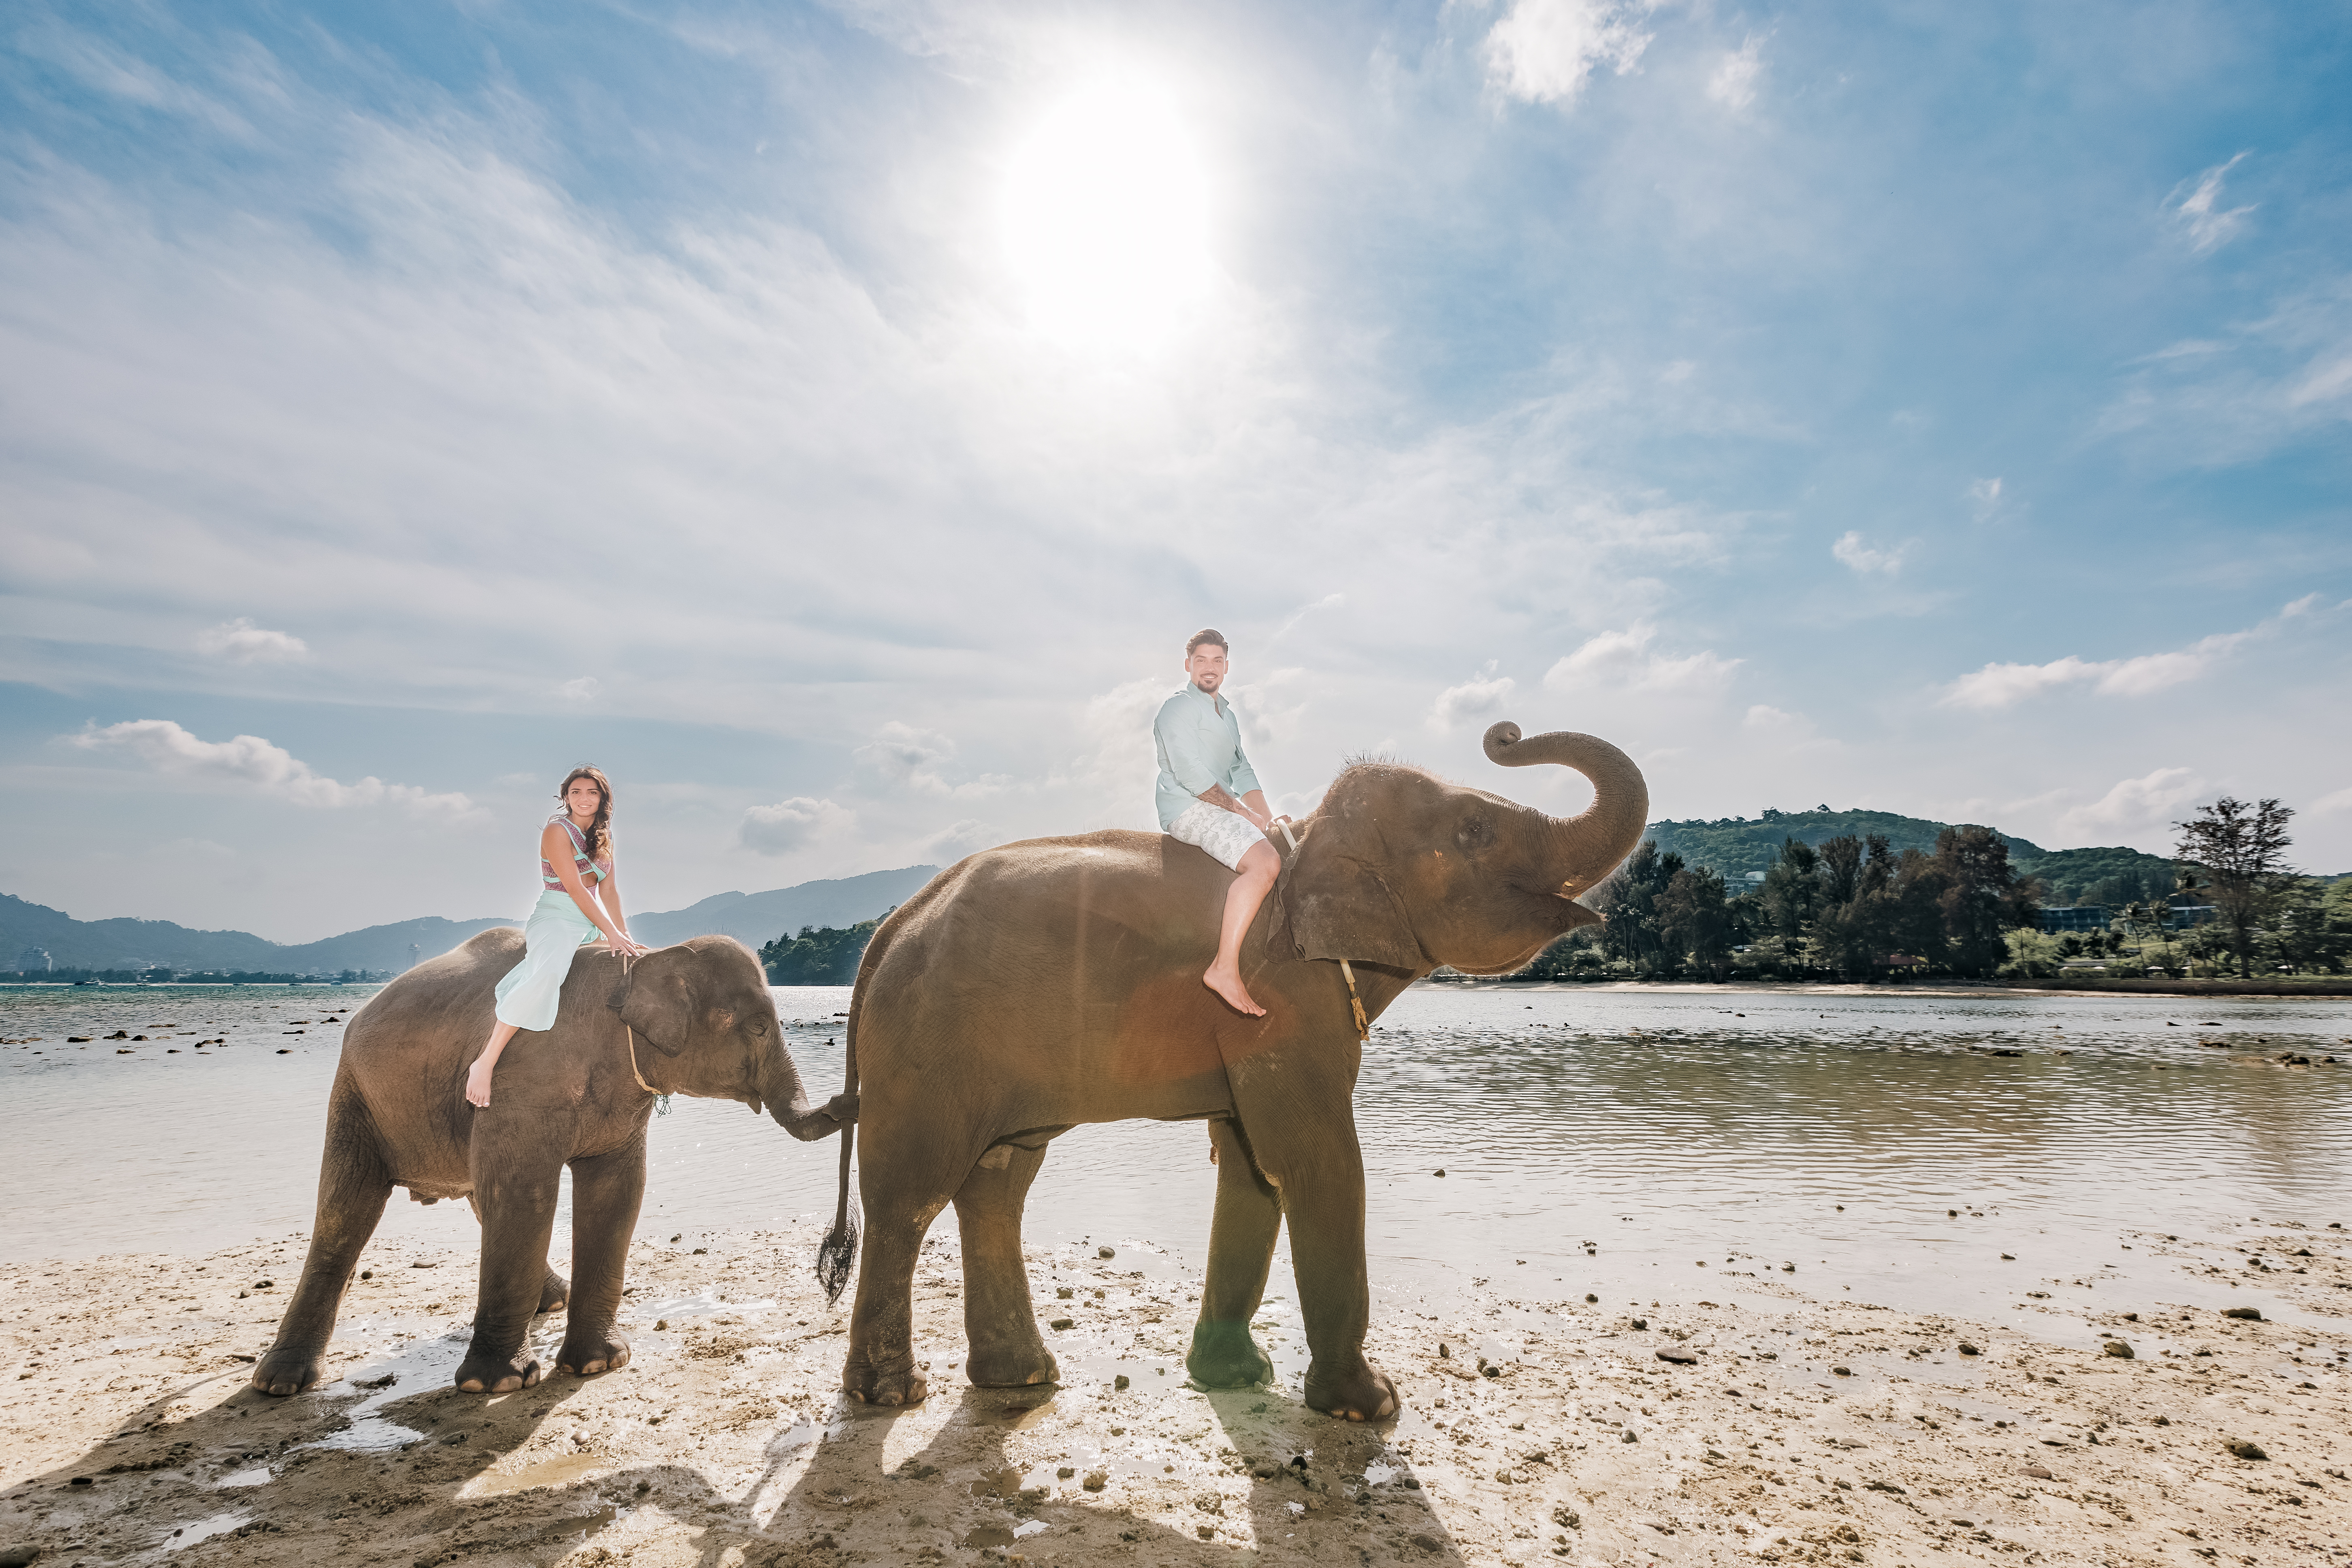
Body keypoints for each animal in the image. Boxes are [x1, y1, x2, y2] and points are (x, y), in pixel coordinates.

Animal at [252, 931, 854, 1398]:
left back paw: (553, 1299)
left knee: (477, 1196)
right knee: (344, 1212)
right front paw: (496, 1384)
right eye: (758, 1028)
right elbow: (526, 1194)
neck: (641, 961)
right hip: (355, 1095)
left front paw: (599, 1363)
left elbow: (615, 1193)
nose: (849, 1099)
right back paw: (280, 1384)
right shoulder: (520, 1080)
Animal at [822, 721, 1646, 1420]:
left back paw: (1020, 1377)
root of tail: (890, 929)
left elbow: (1252, 1166)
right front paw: (1372, 1405)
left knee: (997, 1183)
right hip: (925, 1045)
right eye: (1473, 831)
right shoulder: (1278, 1000)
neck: (1308, 841)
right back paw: (890, 1394)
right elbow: (1316, 1161)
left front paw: (1236, 1377)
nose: (1503, 733)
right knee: (911, 1193)